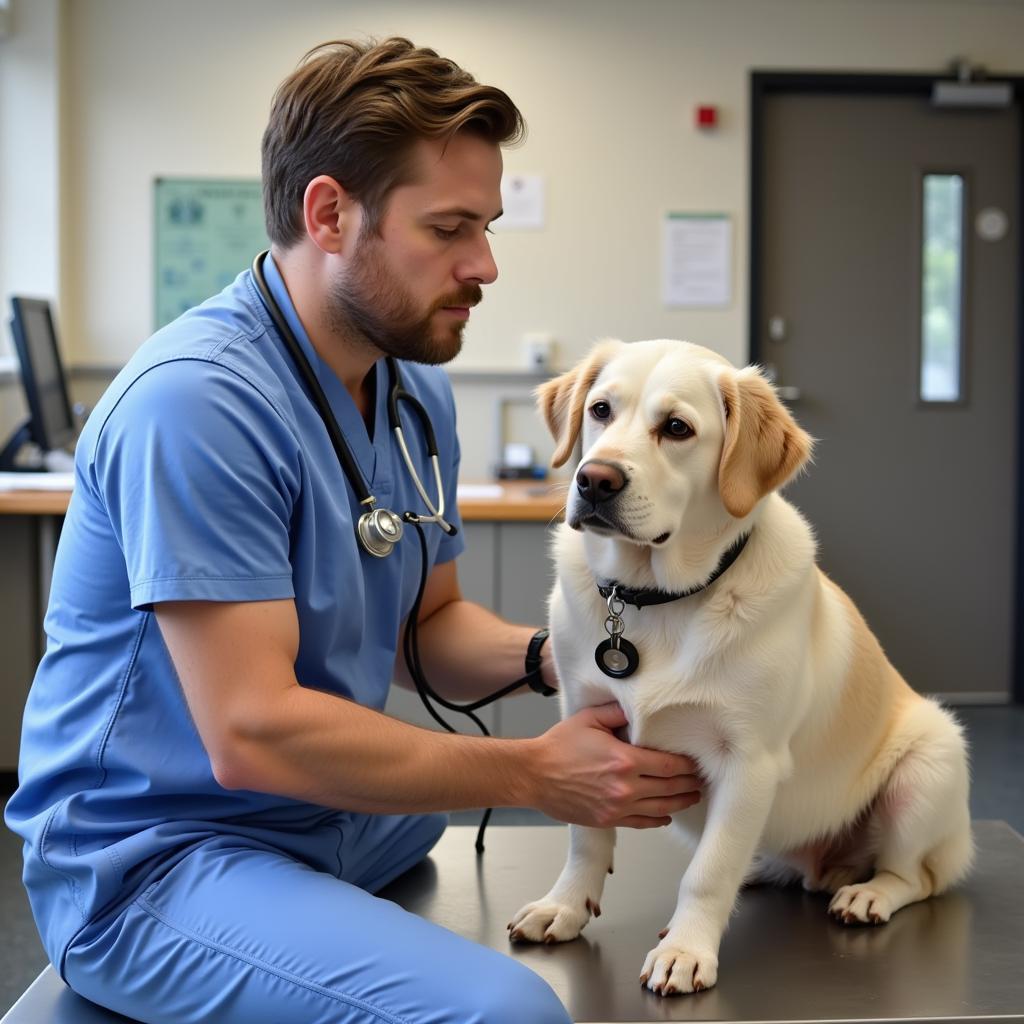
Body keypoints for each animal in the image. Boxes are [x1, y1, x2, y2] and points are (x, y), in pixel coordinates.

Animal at [507, 339, 970, 995]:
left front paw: (685, 950)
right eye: (600, 410)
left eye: (677, 428)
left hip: (931, 761)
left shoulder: (749, 760)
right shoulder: (587, 727)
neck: (654, 599)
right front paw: (564, 906)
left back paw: (868, 894)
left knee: (916, 877)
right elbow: (585, 838)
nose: (594, 480)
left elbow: (706, 874)